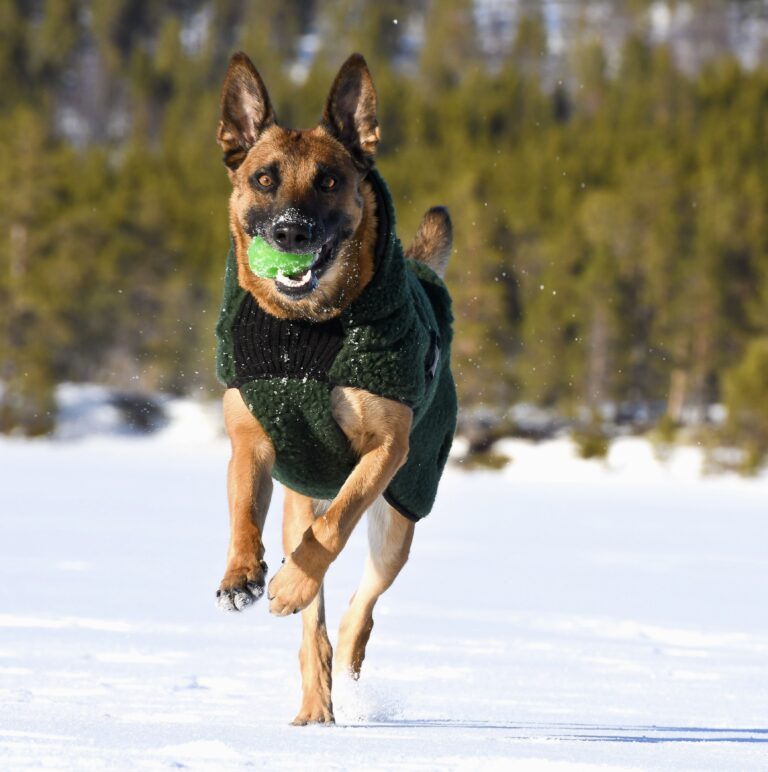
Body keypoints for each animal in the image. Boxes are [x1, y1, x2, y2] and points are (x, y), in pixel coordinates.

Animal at [213, 52, 456, 724]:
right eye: (264, 179)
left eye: (327, 182)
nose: (291, 232)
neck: (306, 331)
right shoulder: (252, 438)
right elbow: (243, 509)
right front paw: (241, 574)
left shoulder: (386, 450)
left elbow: (336, 527)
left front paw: (289, 583)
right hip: (303, 497)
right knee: (312, 626)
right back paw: (315, 704)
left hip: (400, 519)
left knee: (357, 607)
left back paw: (336, 654)